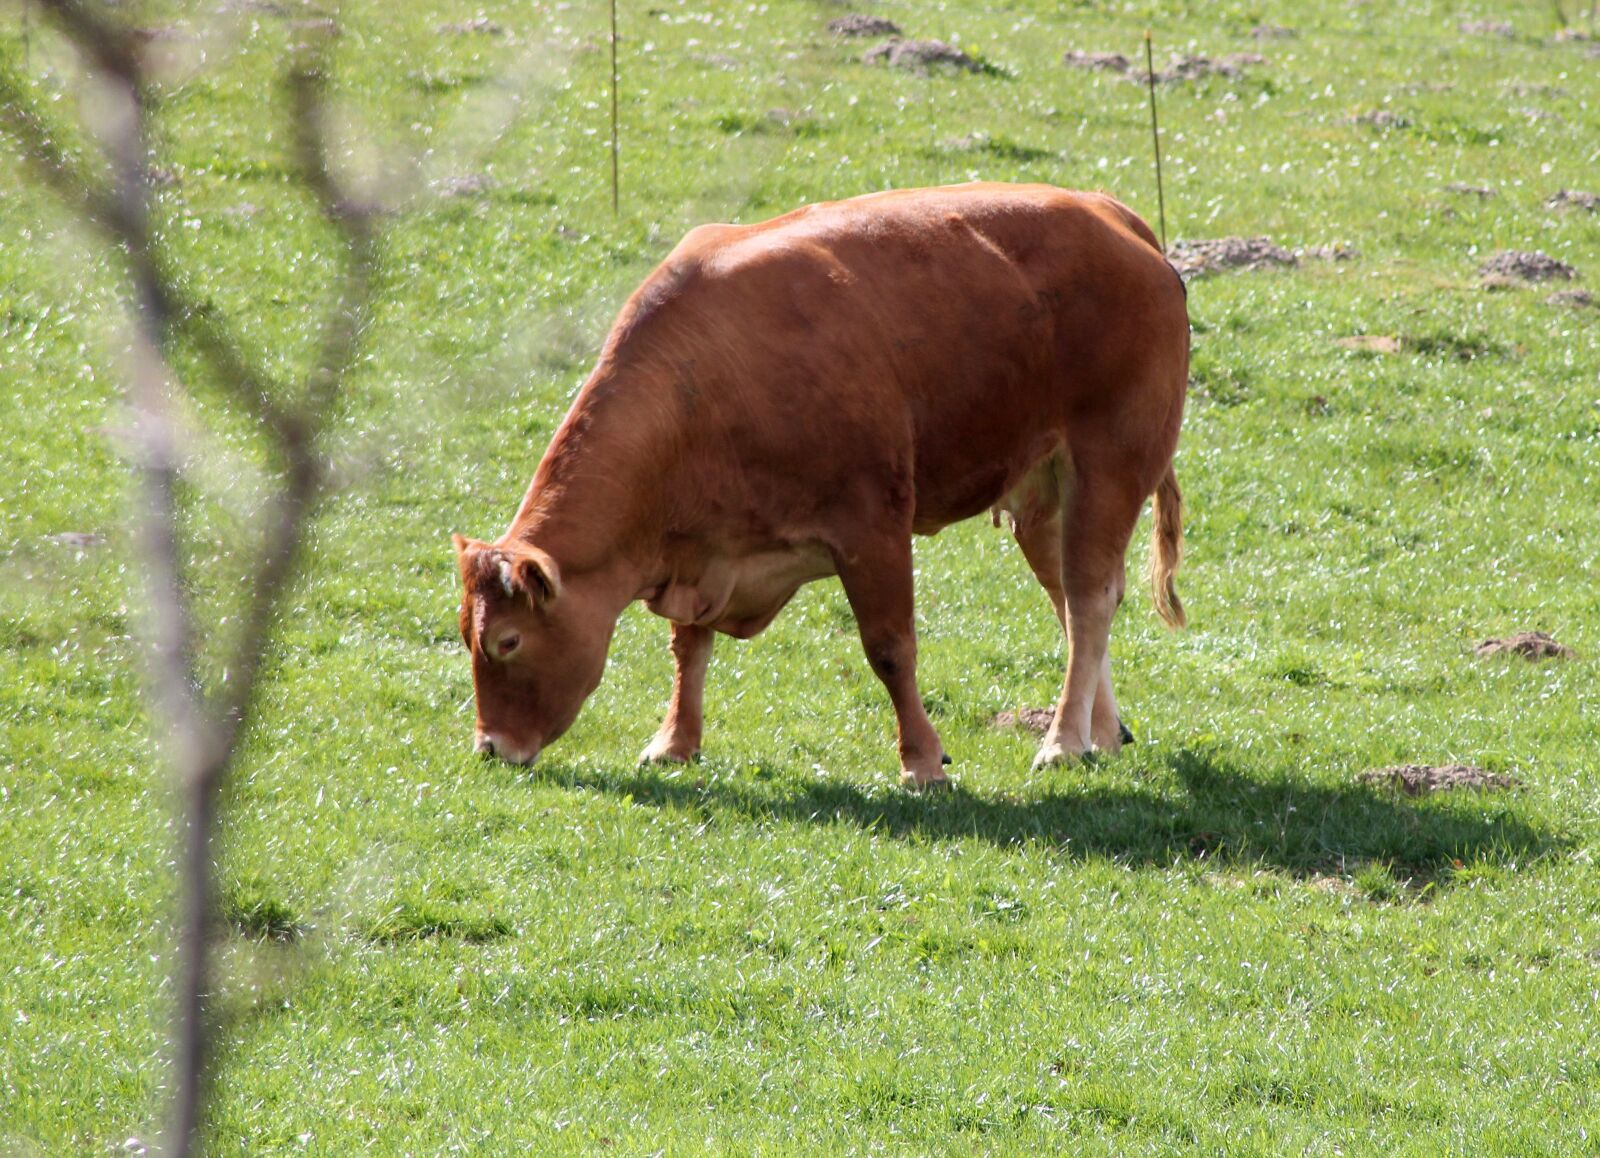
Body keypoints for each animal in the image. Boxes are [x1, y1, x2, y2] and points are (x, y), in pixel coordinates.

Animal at [453, 182, 1188, 790]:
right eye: (467, 635)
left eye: (507, 642)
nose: (490, 748)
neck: (704, 387)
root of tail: (1107, 212)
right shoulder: (701, 546)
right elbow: (689, 646)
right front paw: (675, 742)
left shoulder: (872, 524)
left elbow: (890, 650)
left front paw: (923, 762)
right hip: (1042, 493)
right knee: (1071, 599)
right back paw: (1100, 733)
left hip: (1109, 465)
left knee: (1089, 601)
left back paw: (1062, 742)